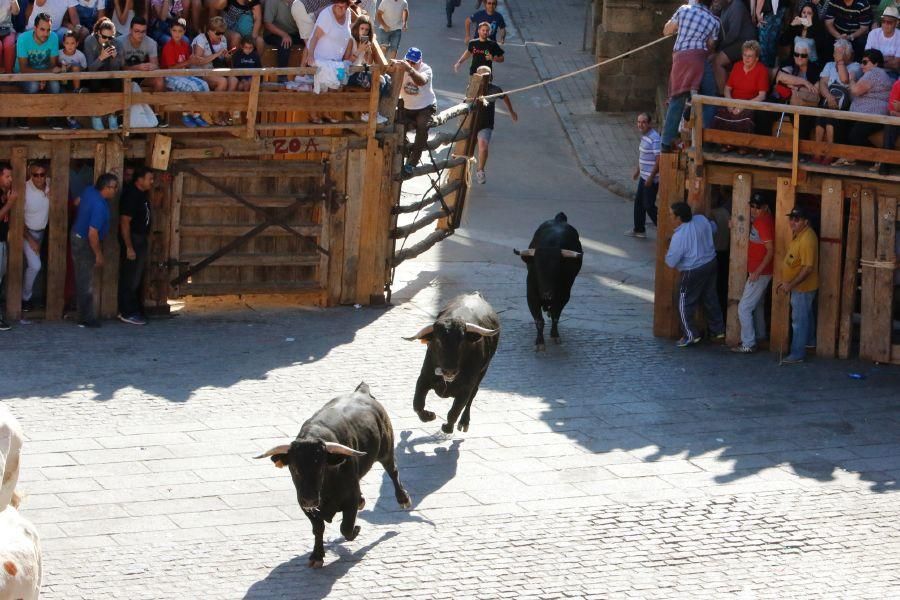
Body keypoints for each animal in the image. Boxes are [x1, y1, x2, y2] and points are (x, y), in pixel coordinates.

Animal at [406, 290, 502, 432]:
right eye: (438, 341)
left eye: (462, 342)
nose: (449, 371)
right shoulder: (423, 378)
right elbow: (417, 404)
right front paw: (429, 416)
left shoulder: (466, 389)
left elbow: (454, 411)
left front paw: (448, 427)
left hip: (482, 372)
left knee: (472, 396)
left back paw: (464, 422)